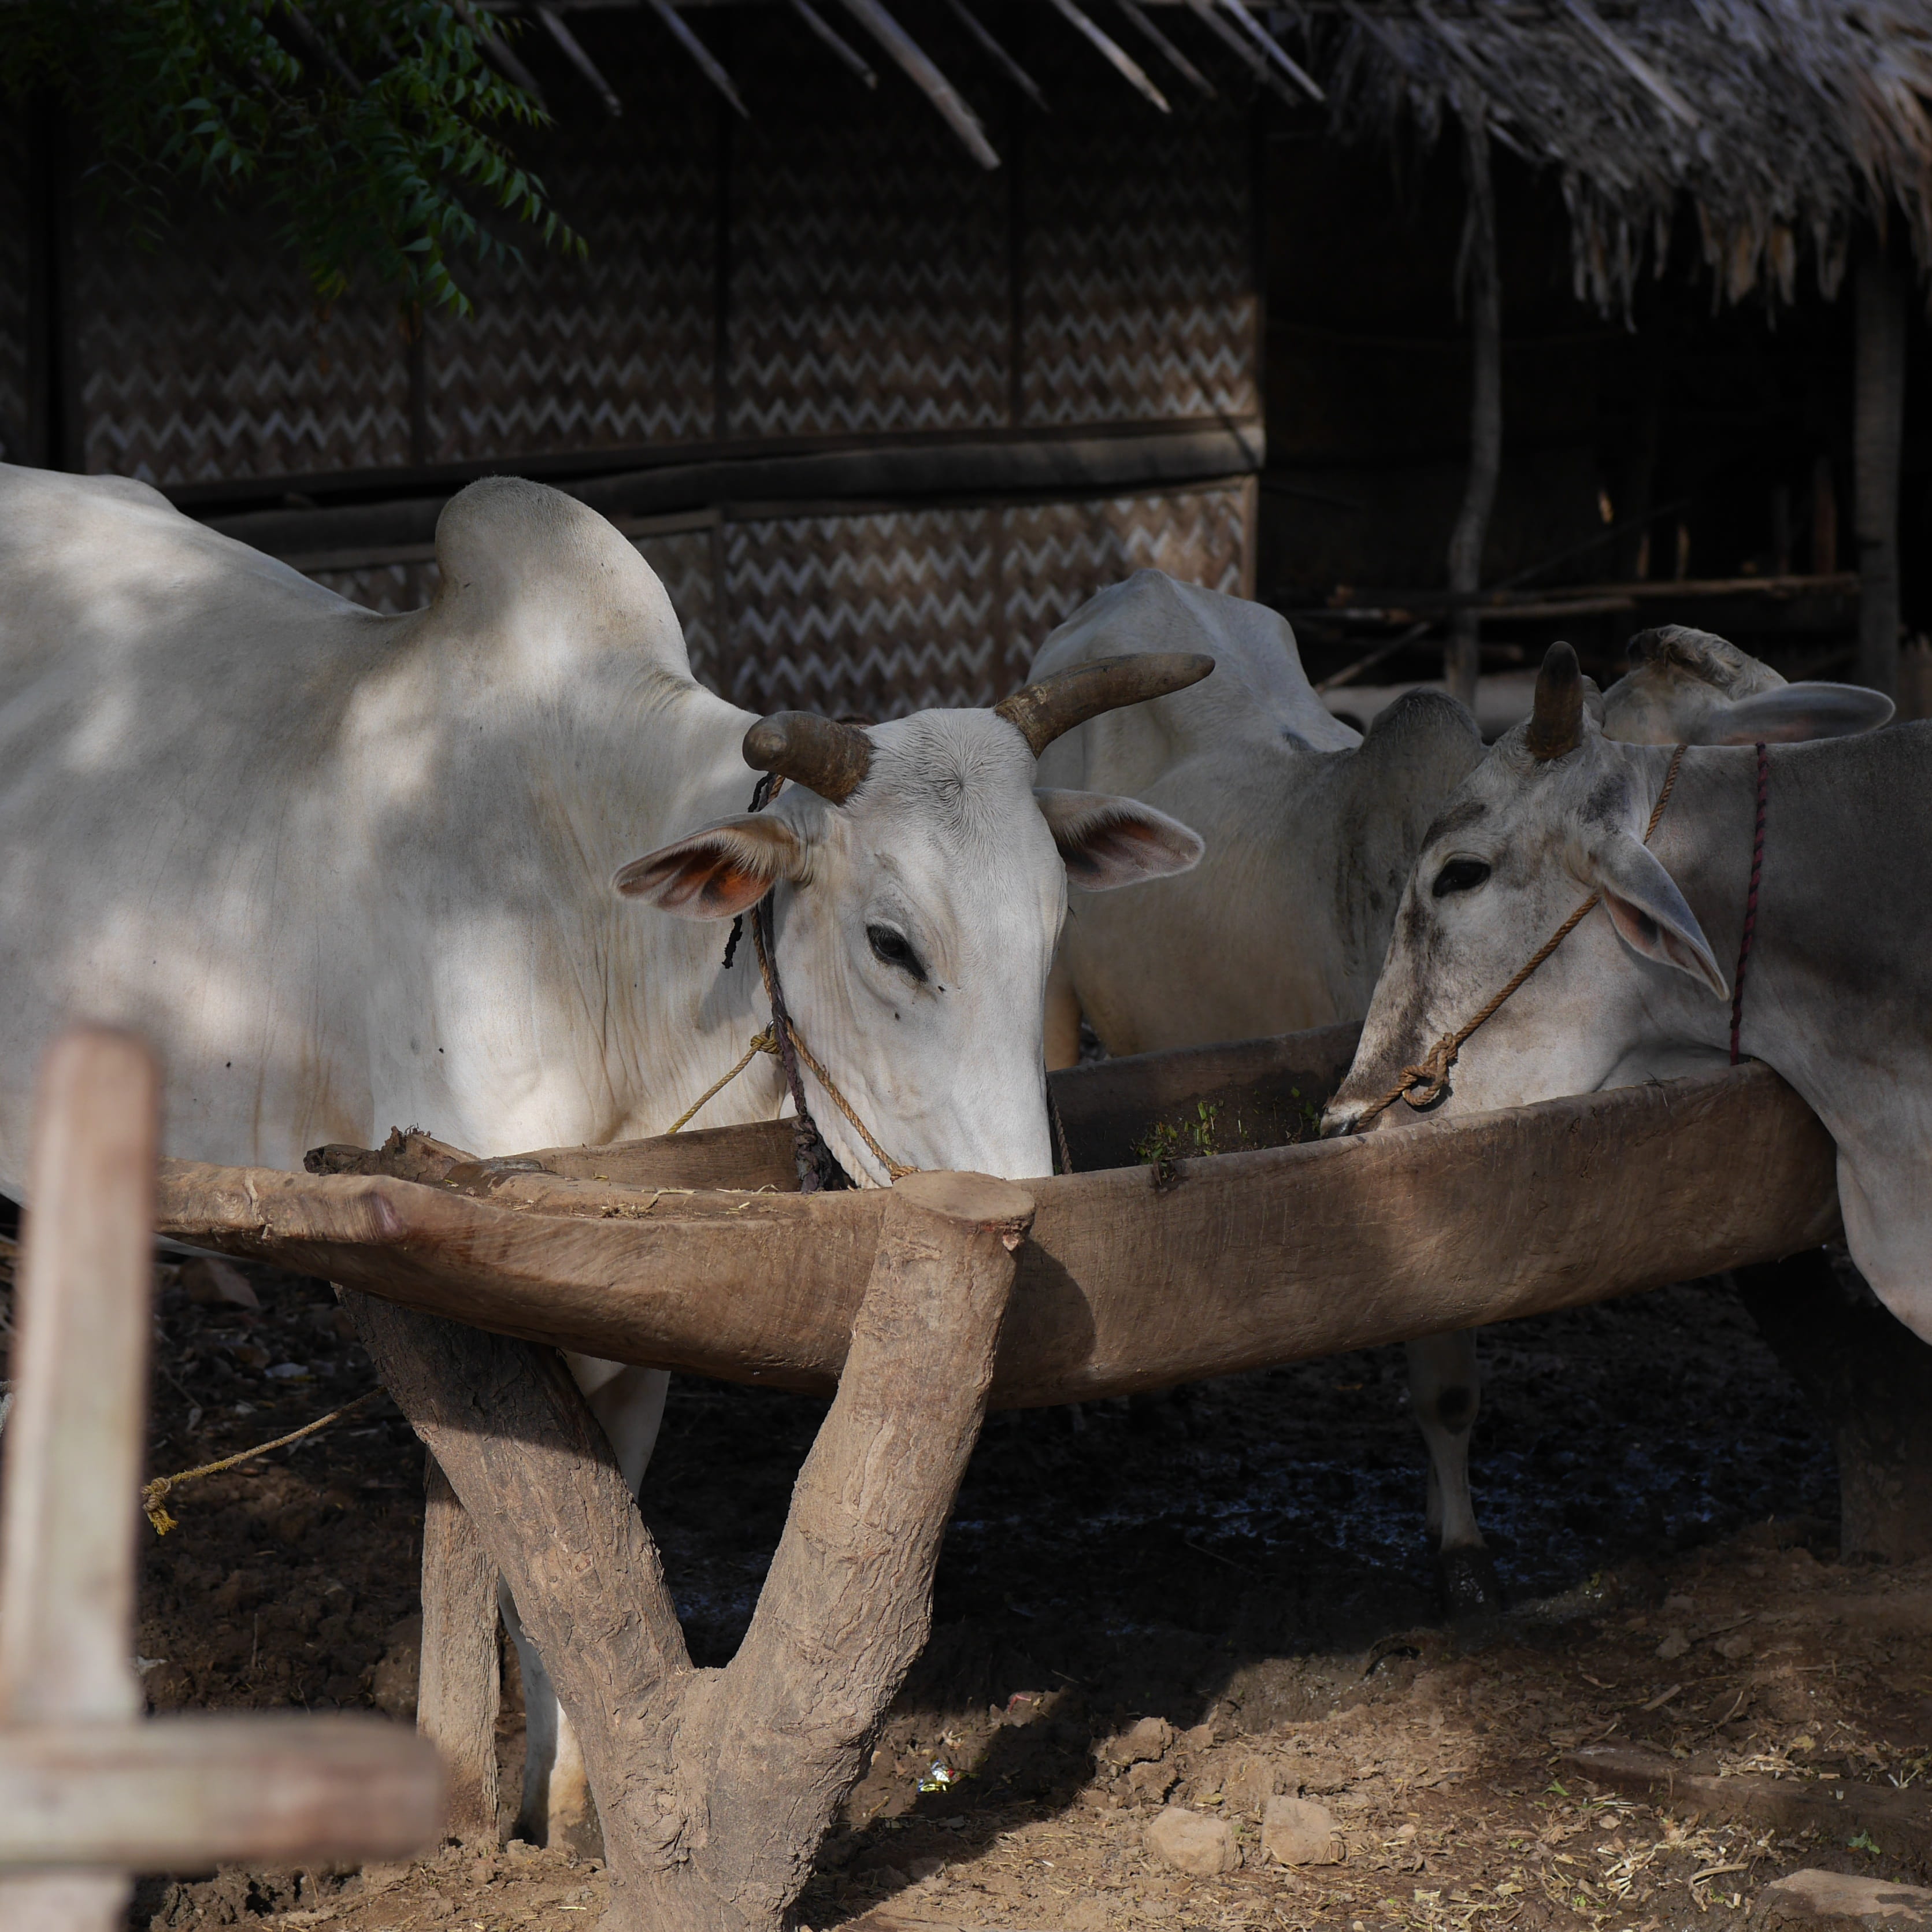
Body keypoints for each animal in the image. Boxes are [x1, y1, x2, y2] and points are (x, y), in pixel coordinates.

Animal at [0, 464, 1208, 1845]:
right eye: (892, 943)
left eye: (1057, 922)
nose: (1039, 1202)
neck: (595, 927)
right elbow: (541, 1549)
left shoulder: (633, 1310)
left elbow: (597, 1542)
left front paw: (571, 1803)